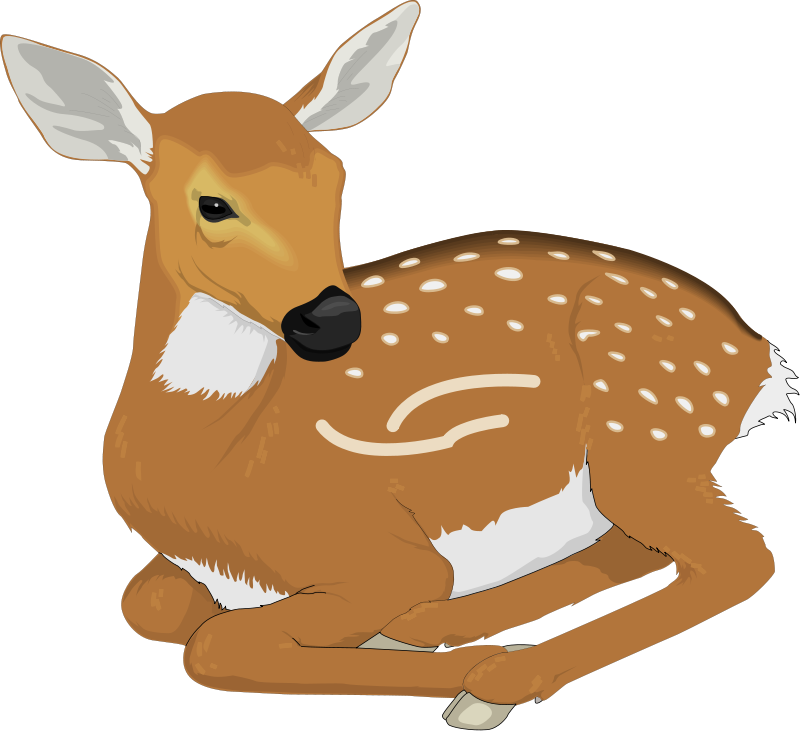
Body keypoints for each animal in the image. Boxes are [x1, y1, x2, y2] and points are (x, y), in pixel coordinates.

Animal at [3, 2, 794, 728]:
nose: (331, 319)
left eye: (334, 177)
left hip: (644, 421)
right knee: (647, 548)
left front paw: (463, 673)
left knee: (739, 559)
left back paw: (491, 670)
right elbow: (148, 604)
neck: (225, 456)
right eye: (213, 203)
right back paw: (442, 627)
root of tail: (758, 355)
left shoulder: (380, 548)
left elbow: (215, 645)